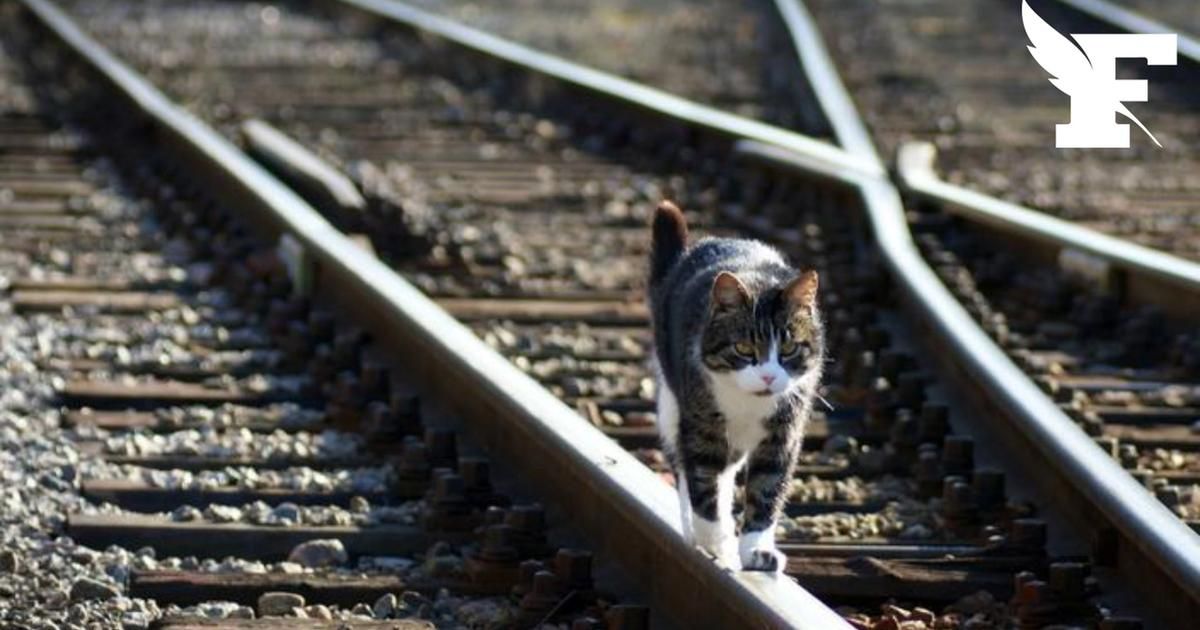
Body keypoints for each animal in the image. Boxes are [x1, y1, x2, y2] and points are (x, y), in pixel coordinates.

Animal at [648, 200, 825, 568]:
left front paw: (756, 549)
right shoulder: (700, 420)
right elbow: (703, 479)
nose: (769, 376)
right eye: (744, 348)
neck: (749, 402)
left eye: (789, 348)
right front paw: (714, 543)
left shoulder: (784, 426)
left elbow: (767, 485)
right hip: (672, 398)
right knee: (684, 464)